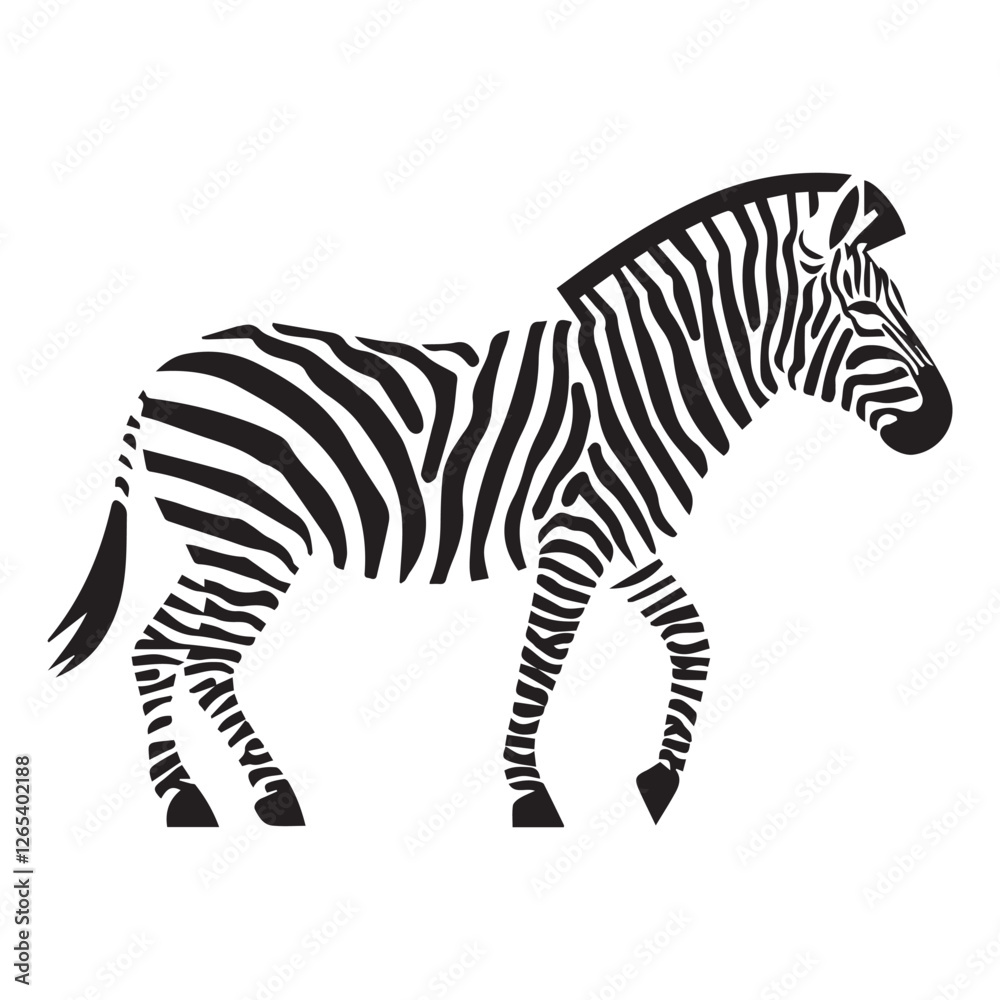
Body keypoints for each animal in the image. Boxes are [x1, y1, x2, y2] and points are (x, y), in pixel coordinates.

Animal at [48, 173, 952, 829]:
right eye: (864, 309)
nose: (941, 422)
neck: (643, 386)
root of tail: (158, 376)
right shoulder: (575, 540)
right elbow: (541, 665)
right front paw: (530, 795)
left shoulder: (628, 545)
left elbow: (692, 638)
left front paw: (659, 780)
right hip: (250, 544)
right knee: (203, 659)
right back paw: (270, 796)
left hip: (216, 544)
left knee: (157, 646)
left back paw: (185, 799)